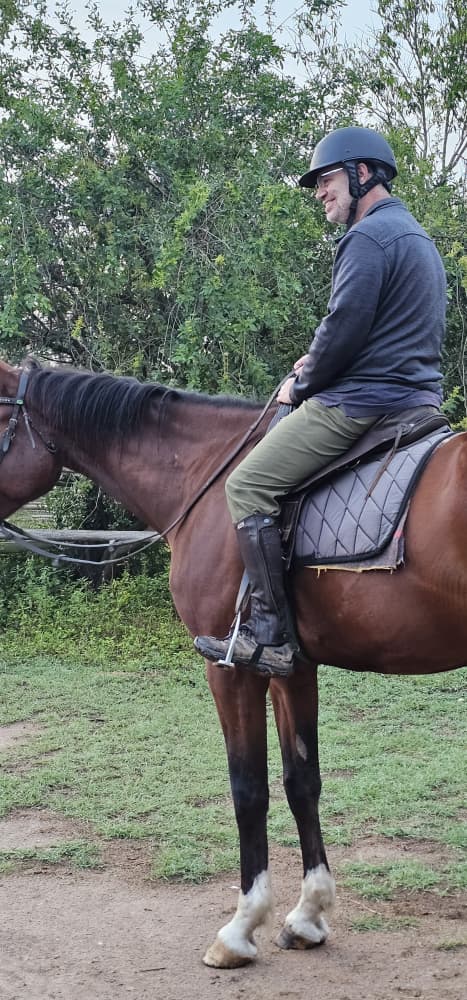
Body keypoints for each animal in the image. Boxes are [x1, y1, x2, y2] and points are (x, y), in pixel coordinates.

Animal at [0, 357, 465, 969]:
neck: (204, 472)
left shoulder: (230, 669)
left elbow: (248, 790)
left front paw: (241, 928)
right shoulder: (290, 669)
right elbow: (301, 781)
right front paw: (307, 916)